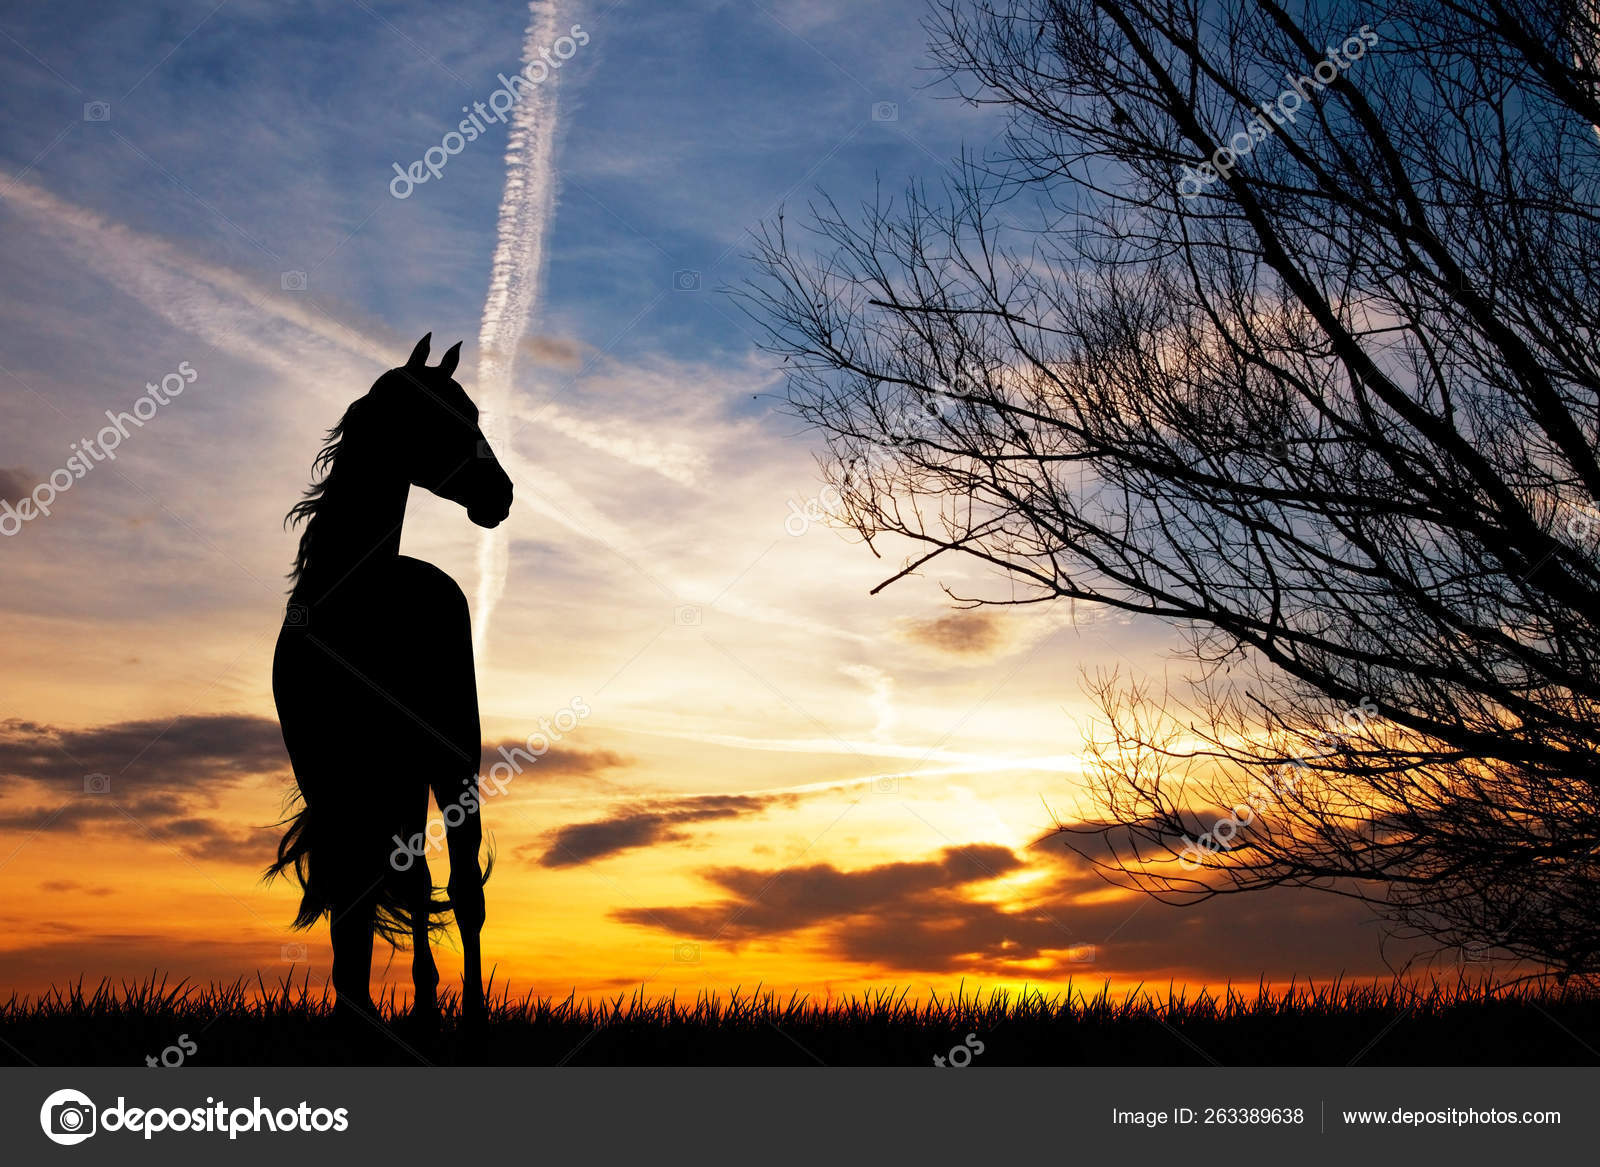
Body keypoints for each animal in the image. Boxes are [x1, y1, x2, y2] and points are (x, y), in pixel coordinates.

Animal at [266, 332, 513, 1027]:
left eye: (474, 414)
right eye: (439, 415)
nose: (501, 494)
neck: (355, 607)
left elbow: (439, 889)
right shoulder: (328, 776)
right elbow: (357, 891)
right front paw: (354, 1004)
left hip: (443, 763)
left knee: (458, 887)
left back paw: (466, 1015)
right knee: (399, 875)